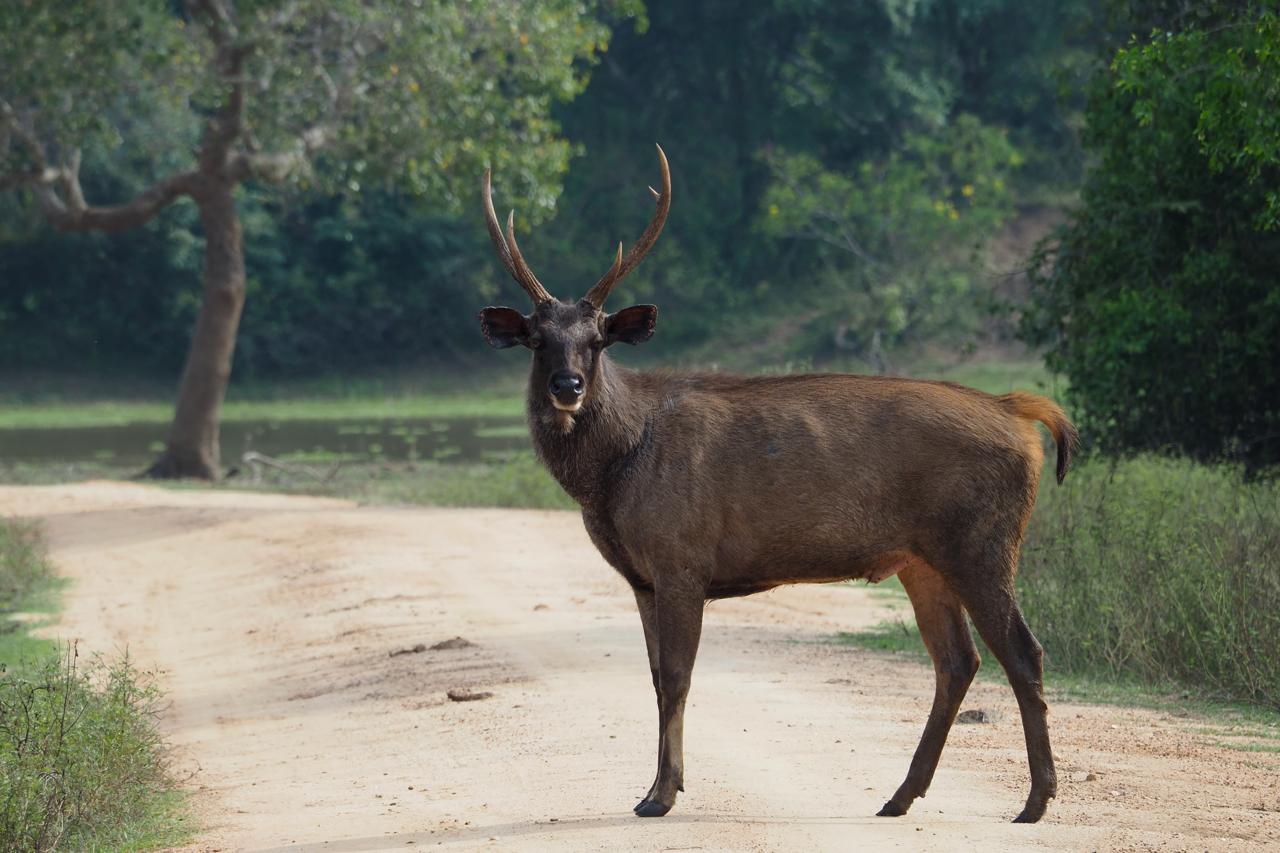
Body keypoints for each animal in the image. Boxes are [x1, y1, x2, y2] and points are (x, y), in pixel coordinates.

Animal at [477, 145, 1077, 824]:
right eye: (536, 338)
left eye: (599, 337)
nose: (568, 386)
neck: (615, 471)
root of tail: (1020, 413)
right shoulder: (643, 578)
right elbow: (656, 679)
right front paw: (654, 787)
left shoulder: (682, 558)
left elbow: (678, 677)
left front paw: (662, 793)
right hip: (921, 559)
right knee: (957, 659)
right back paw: (901, 795)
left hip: (982, 540)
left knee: (1023, 651)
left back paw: (1035, 800)